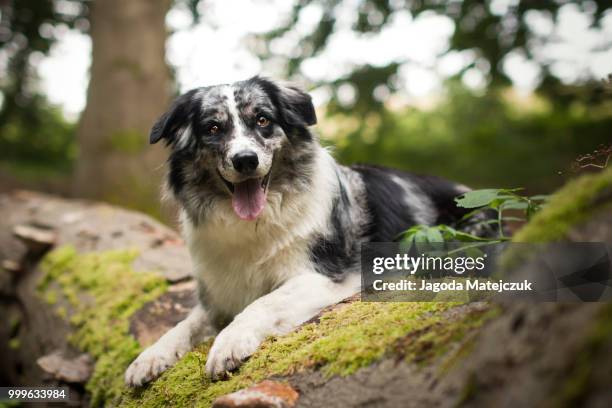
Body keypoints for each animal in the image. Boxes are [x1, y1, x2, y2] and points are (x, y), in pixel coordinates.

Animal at [125, 76, 478, 386]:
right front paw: (149, 357)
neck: (254, 224)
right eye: (213, 128)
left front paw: (229, 343)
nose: (245, 160)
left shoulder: (324, 277)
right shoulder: (219, 297)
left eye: (263, 120)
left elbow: (263, 303)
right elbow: (184, 325)